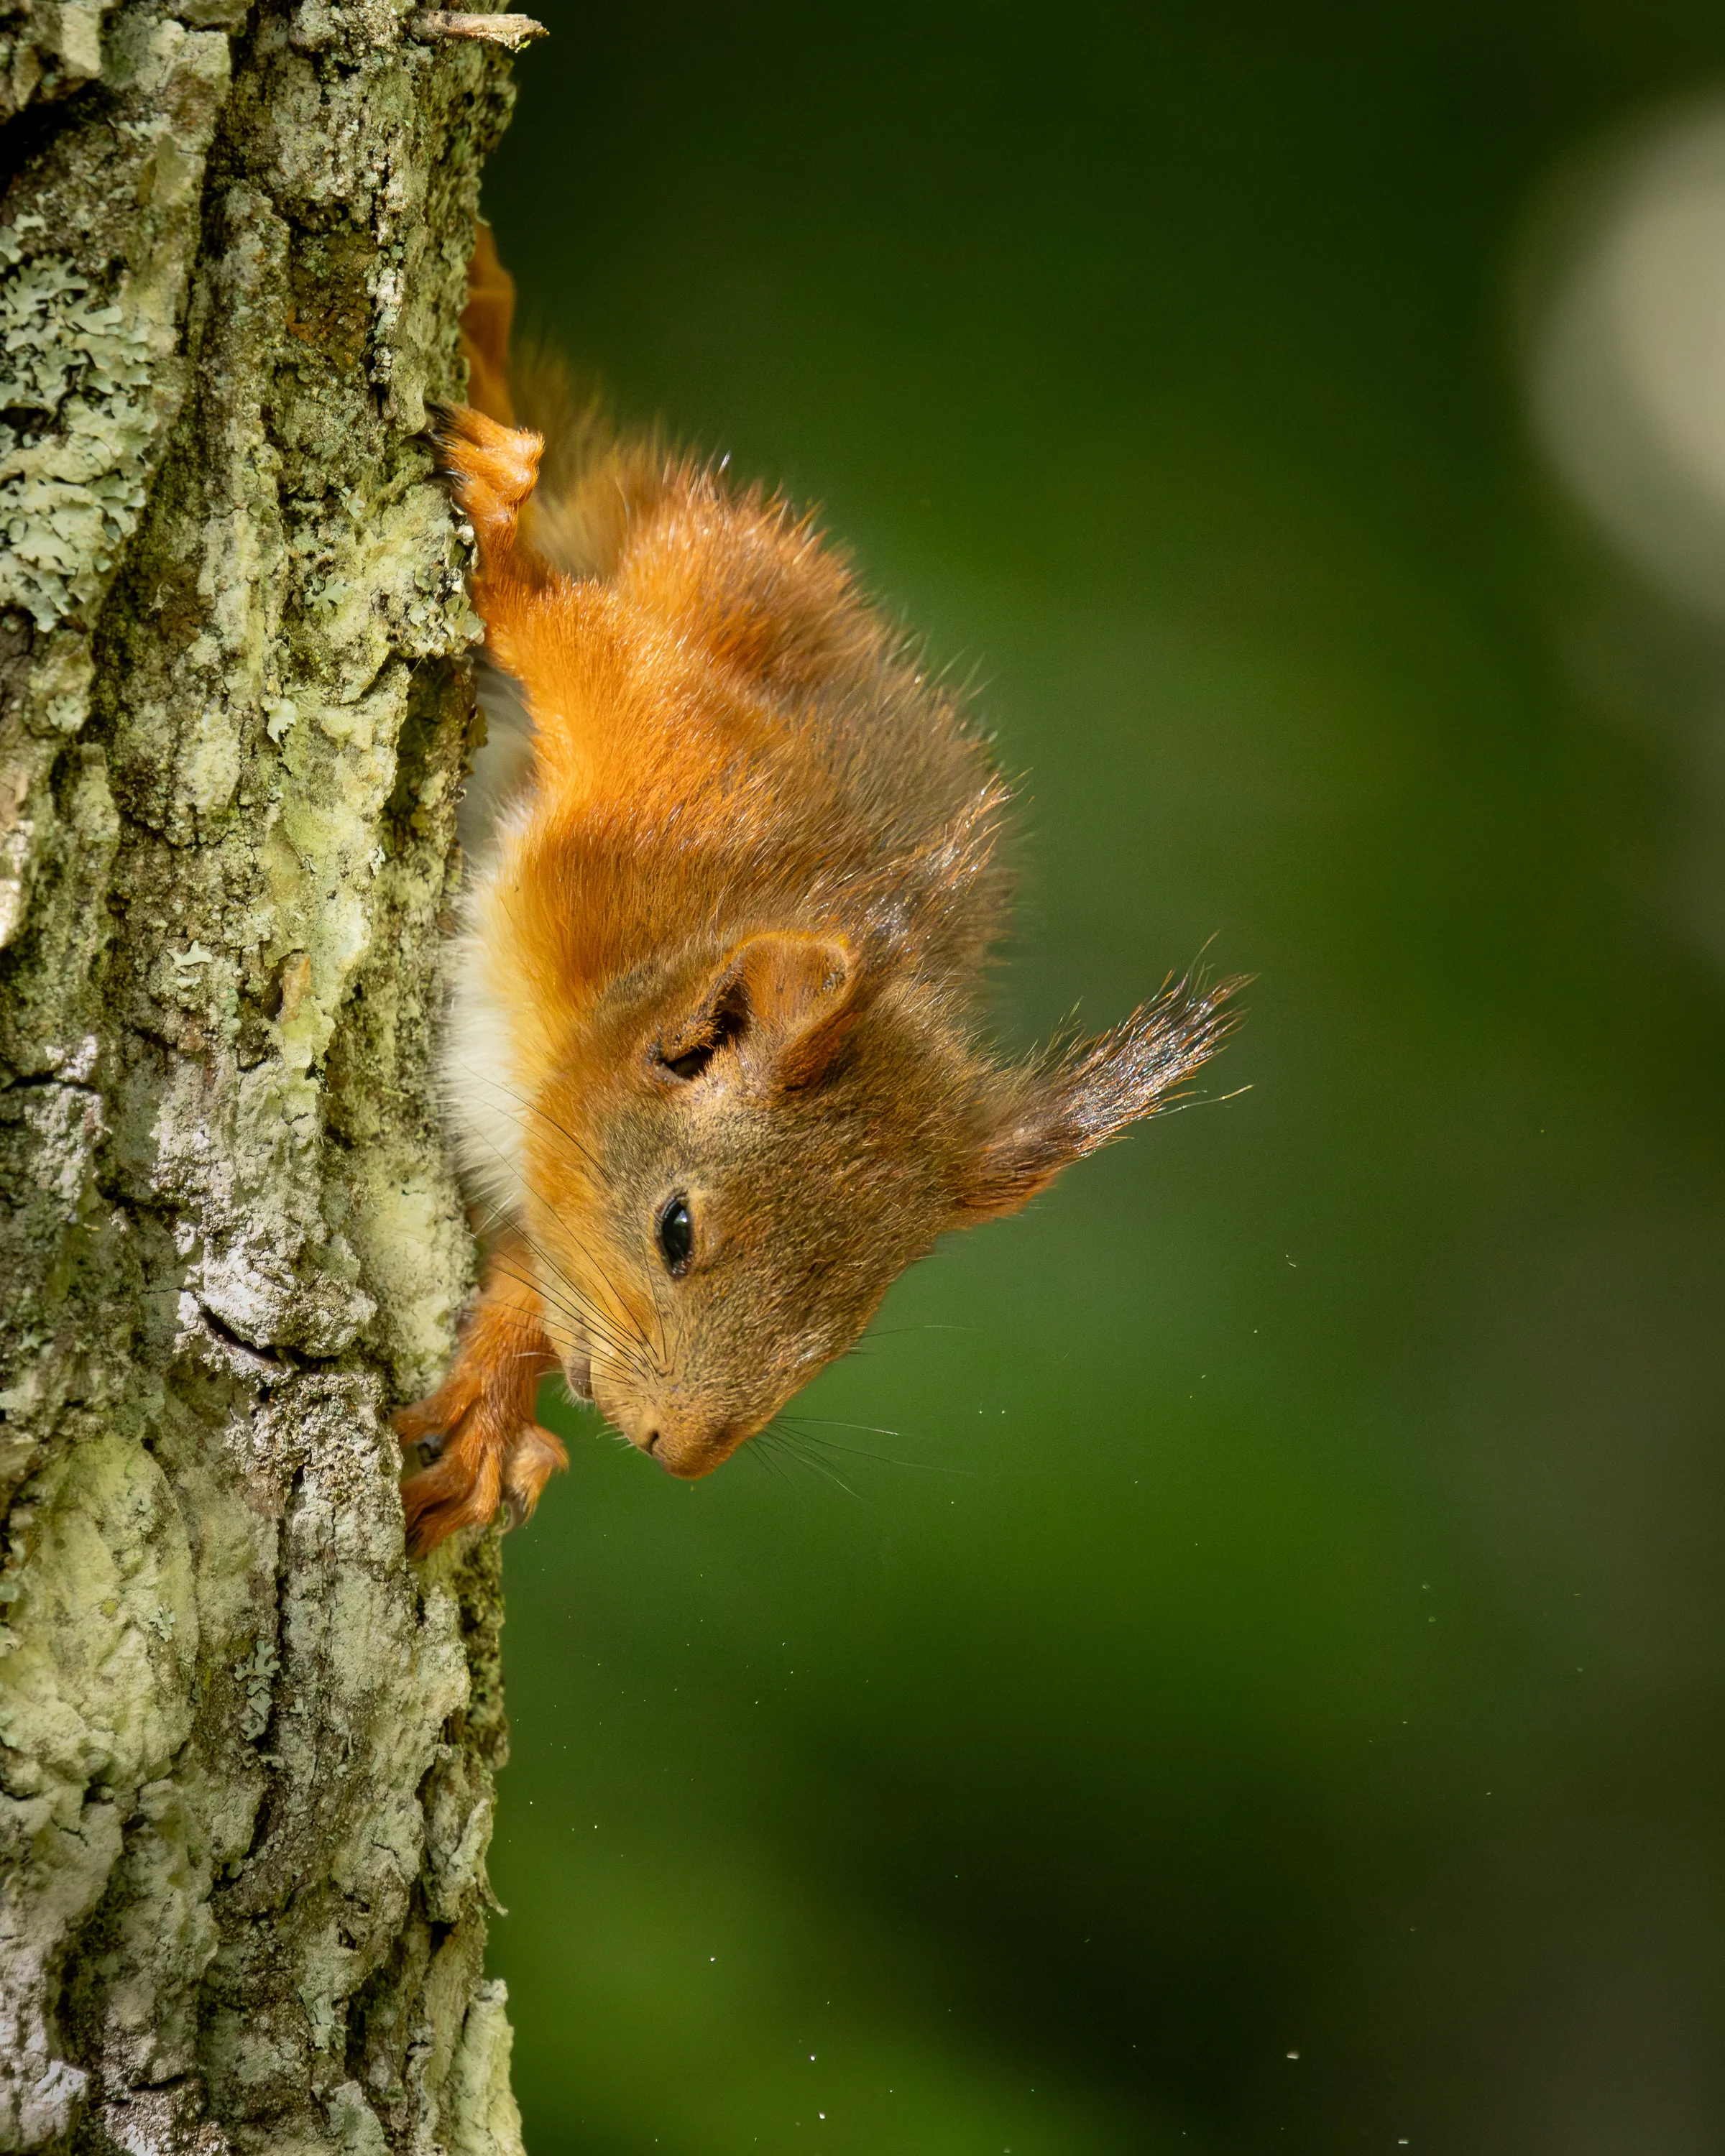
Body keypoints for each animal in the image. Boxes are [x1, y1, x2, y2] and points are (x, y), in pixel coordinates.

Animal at [394, 227, 1242, 1554]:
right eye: (677, 1232)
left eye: (855, 1319)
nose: (680, 1453)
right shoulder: (673, 787)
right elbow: (593, 655)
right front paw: (512, 561)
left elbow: (533, 1271)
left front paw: (490, 1407)